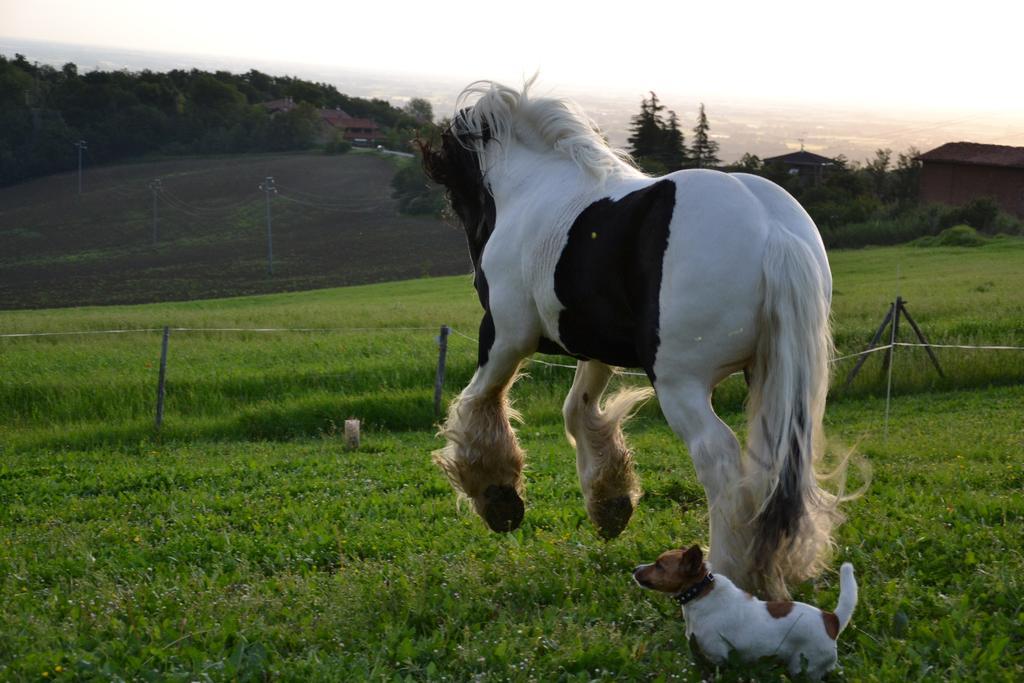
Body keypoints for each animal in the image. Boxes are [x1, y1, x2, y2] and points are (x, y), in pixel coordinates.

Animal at [419, 78, 843, 593]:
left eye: (458, 190)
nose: (477, 267)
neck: (534, 185)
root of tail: (774, 232)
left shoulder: (505, 336)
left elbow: (478, 400)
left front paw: (497, 495)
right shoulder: (595, 346)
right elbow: (577, 410)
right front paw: (610, 504)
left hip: (680, 383)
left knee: (719, 458)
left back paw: (726, 572)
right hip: (769, 376)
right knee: (767, 466)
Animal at [630, 544, 856, 679]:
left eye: (659, 566)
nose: (634, 569)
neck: (700, 592)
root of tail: (832, 620)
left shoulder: (717, 655)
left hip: (804, 667)